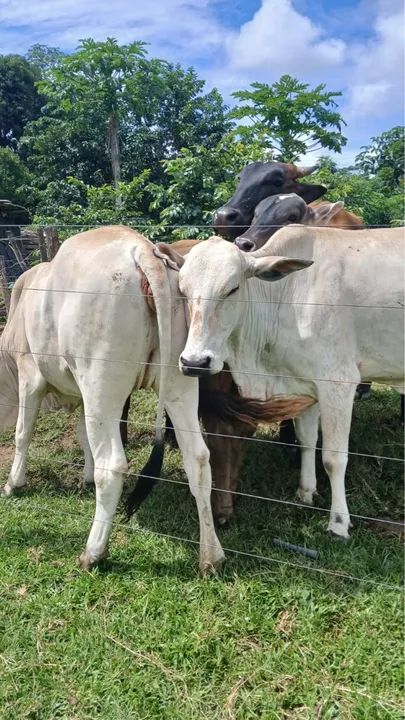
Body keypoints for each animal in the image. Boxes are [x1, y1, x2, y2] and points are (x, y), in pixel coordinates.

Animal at [0, 226, 225, 574]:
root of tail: (143, 250)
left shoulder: (31, 377)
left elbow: (23, 434)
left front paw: (14, 484)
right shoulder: (81, 395)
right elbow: (83, 436)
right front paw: (85, 478)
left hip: (102, 383)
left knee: (114, 465)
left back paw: (93, 552)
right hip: (181, 381)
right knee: (198, 459)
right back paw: (211, 556)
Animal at [174, 228, 404, 538]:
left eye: (232, 289)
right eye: (183, 290)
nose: (194, 362)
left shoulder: (338, 383)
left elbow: (334, 458)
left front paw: (338, 523)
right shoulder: (308, 384)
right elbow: (307, 440)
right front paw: (306, 492)